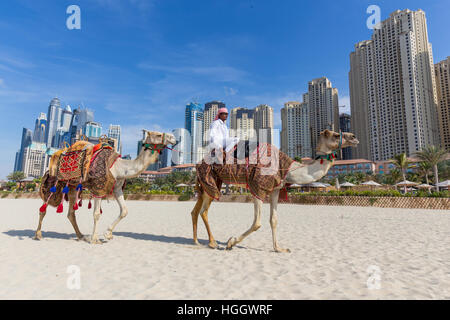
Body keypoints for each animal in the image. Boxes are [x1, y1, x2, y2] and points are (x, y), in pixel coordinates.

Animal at [33, 129, 176, 242]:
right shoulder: (98, 188)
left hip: (72, 187)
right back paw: (38, 234)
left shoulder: (117, 189)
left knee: (70, 213)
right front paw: (95, 239)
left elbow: (124, 211)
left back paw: (81, 236)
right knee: (43, 208)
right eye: (158, 134)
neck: (119, 168)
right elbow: (97, 214)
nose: (173, 138)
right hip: (54, 183)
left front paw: (108, 234)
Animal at [190, 129, 358, 252]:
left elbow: (274, 220)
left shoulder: (275, 190)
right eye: (336, 135)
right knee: (204, 211)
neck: (287, 168)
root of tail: (199, 163)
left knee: (196, 210)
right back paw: (212, 243)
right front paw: (231, 242)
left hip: (208, 184)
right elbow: (257, 223)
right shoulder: (258, 187)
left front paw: (279, 248)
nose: (354, 137)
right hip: (210, 180)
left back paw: (198, 241)